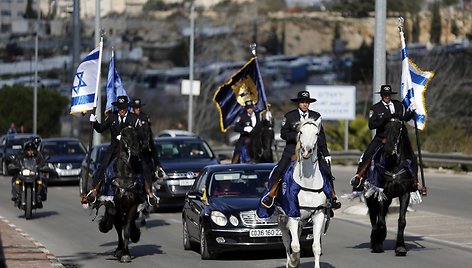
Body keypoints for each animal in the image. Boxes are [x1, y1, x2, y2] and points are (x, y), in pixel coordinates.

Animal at [100, 126, 143, 262]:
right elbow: (113, 217)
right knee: (118, 225)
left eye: (137, 135)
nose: (135, 149)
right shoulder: (112, 203)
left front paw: (125, 254)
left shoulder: (133, 206)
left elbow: (127, 230)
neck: (124, 175)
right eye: (124, 135)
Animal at [276, 118, 328, 268]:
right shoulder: (292, 216)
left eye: (317, 133)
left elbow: (316, 247)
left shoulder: (318, 215)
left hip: (303, 220)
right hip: (281, 219)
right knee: (287, 241)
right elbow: (295, 246)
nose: (307, 151)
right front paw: (293, 261)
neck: (308, 183)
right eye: (301, 132)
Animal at [366, 119, 416, 255]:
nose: (388, 151)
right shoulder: (381, 194)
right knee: (374, 218)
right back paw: (375, 240)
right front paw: (378, 242)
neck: (394, 165)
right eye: (384, 128)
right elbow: (381, 222)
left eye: (399, 129)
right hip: (372, 199)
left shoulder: (405, 194)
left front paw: (400, 247)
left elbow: (402, 221)